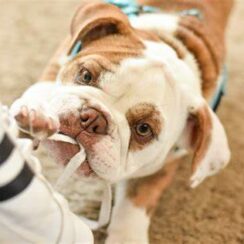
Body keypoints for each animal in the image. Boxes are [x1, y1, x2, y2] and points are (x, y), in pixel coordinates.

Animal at [10, 0, 234, 243]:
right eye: (86, 75)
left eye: (144, 129)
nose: (93, 118)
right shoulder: (59, 62)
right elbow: (42, 90)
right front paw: (37, 113)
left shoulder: (162, 165)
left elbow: (135, 203)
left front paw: (126, 237)